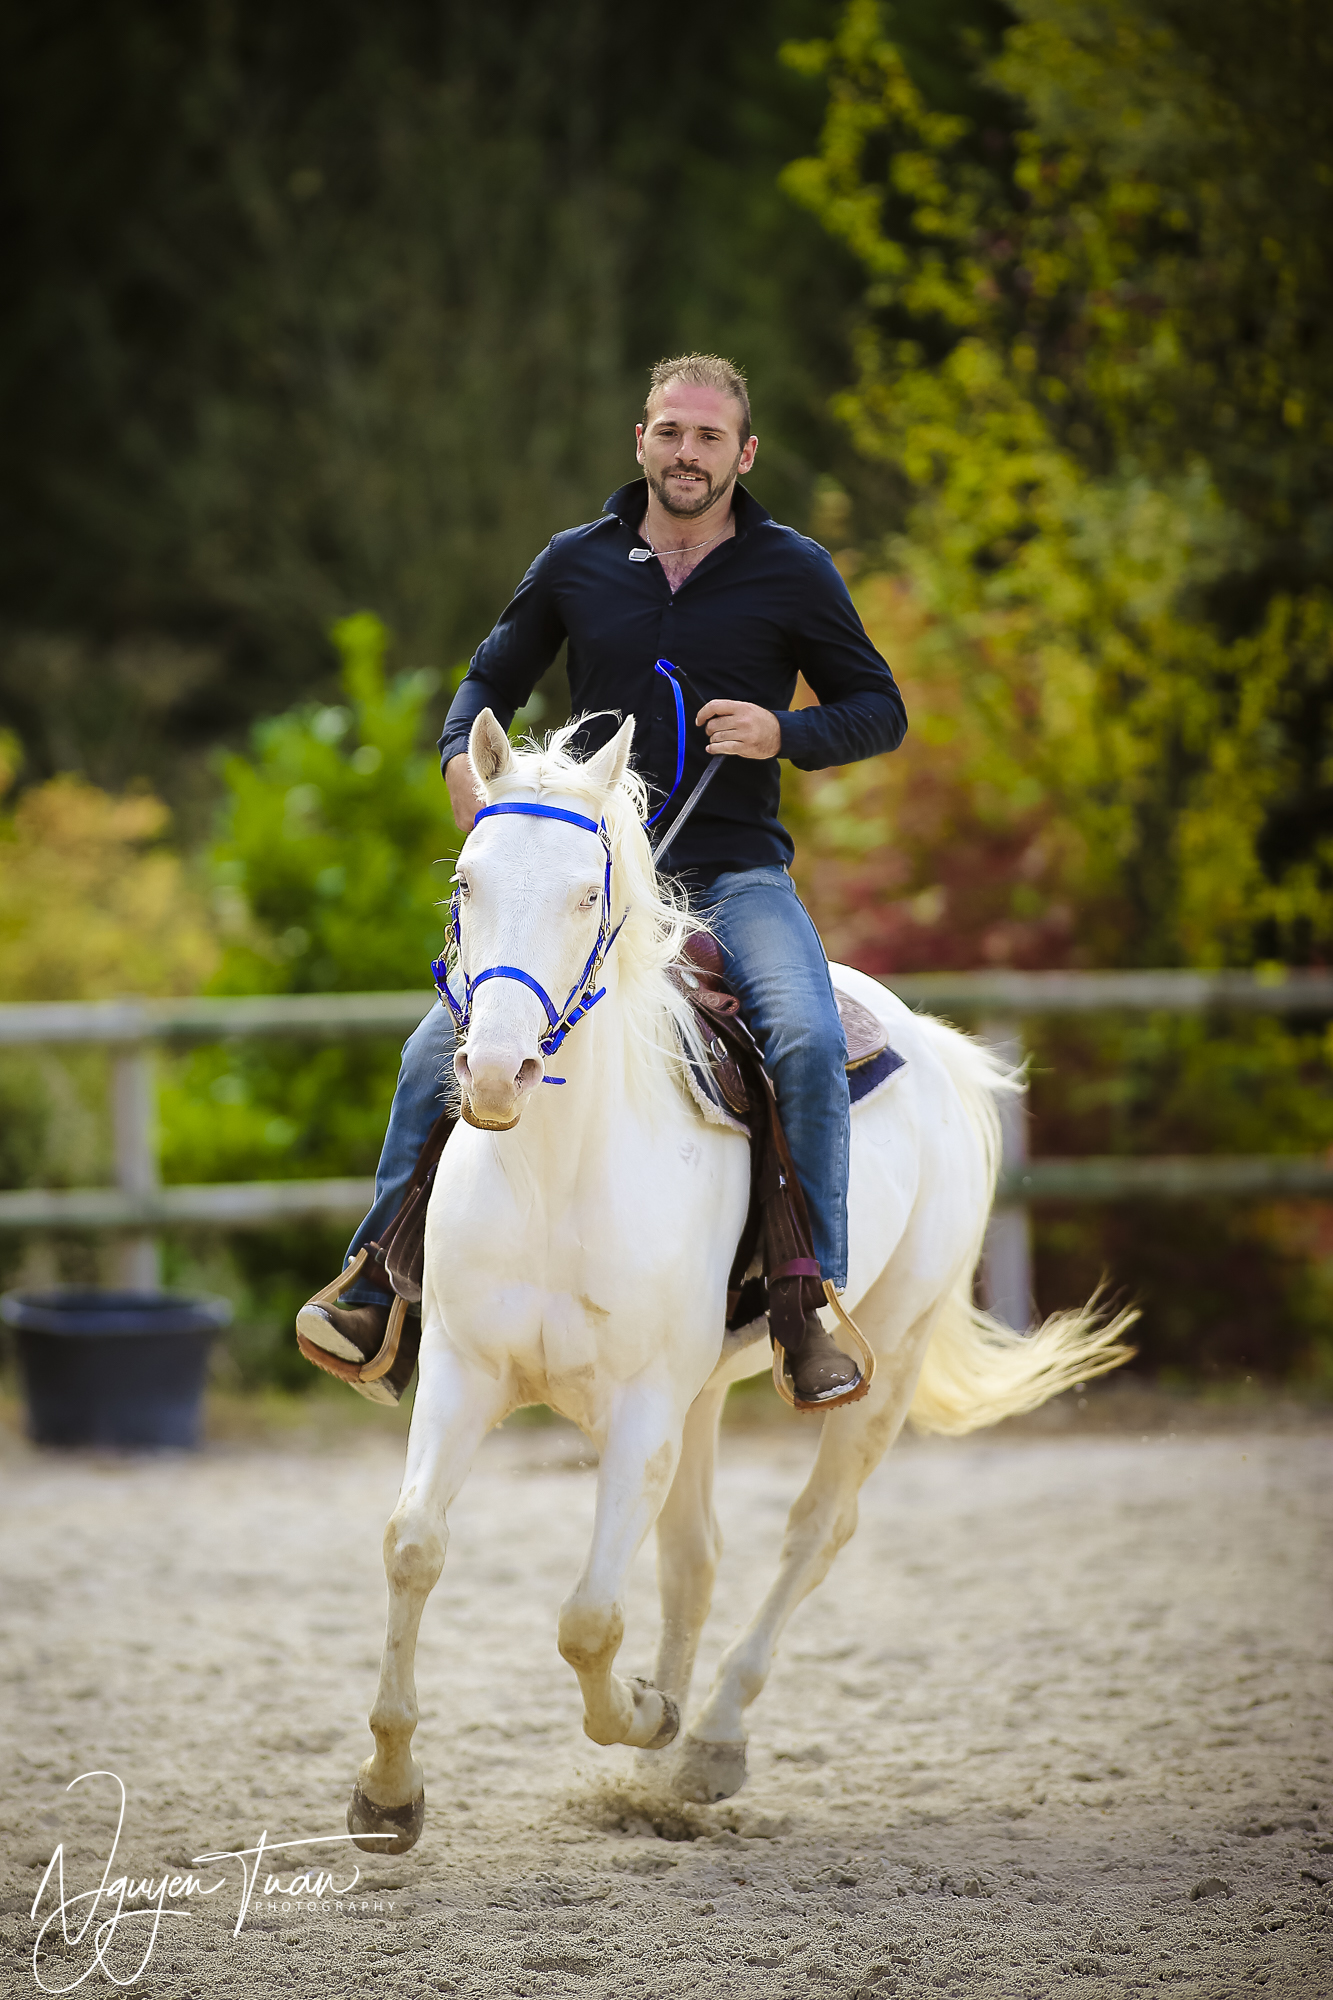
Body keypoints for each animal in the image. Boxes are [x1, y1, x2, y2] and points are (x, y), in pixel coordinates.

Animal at [344, 708, 1133, 1852]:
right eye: (466, 882)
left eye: (586, 893)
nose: (495, 1074)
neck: (557, 1174)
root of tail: (935, 1048)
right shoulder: (465, 1370)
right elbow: (413, 1547)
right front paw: (389, 1785)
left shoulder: (640, 1408)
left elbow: (588, 1618)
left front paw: (644, 1712)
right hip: (704, 1393)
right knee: (696, 1554)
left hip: (883, 1361)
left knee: (813, 1531)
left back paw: (708, 1735)